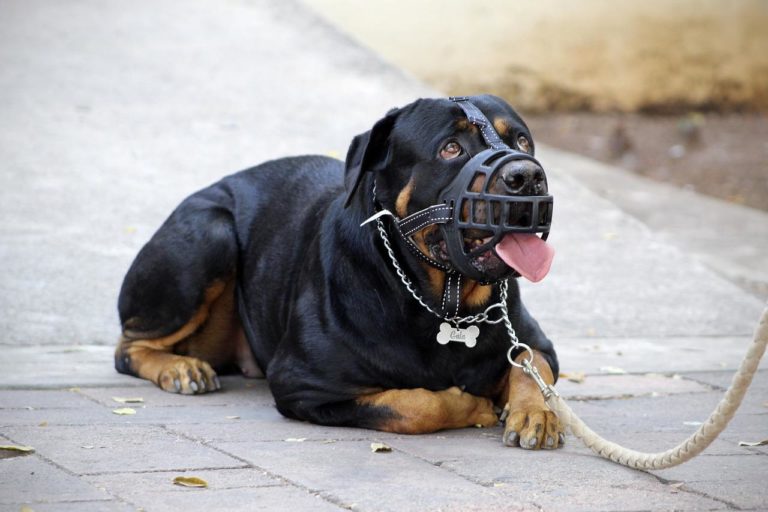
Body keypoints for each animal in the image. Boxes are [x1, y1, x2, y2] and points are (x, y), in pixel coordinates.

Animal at [118, 95, 564, 448]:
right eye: (451, 148)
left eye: (522, 140)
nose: (527, 175)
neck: (444, 301)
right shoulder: (304, 383)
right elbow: (416, 404)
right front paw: (471, 404)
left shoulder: (536, 344)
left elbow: (531, 366)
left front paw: (536, 411)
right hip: (211, 234)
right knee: (128, 348)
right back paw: (179, 368)